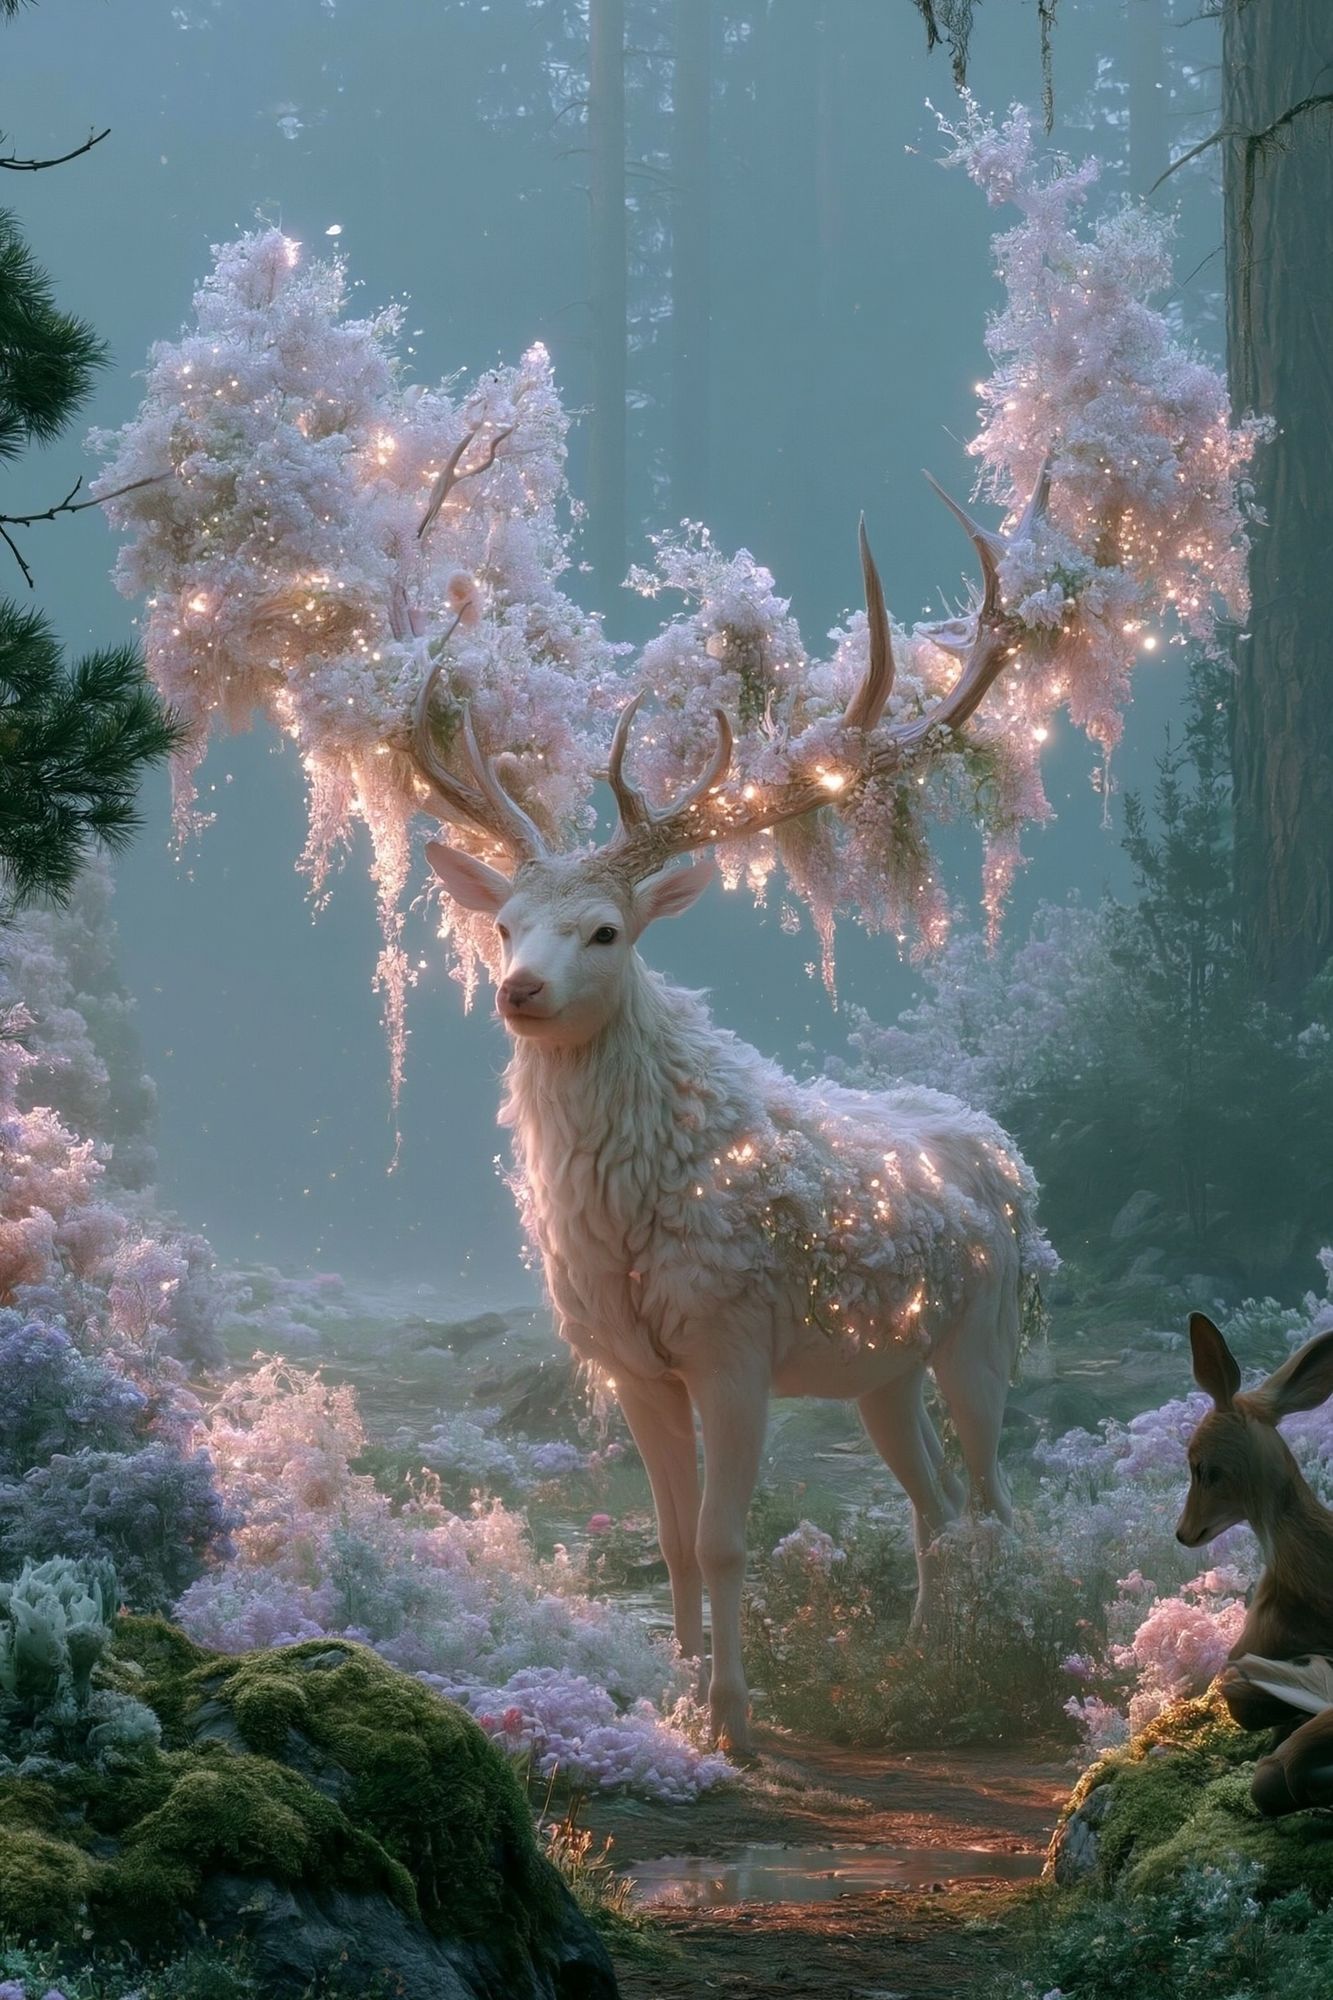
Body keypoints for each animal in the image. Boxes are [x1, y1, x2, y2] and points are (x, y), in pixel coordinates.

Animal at [405, 479, 1054, 1754]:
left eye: (606, 929)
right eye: (502, 922)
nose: (519, 990)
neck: (633, 1207)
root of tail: (1008, 1154)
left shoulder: (733, 1338)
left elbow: (720, 1535)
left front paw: (737, 1723)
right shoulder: (628, 1358)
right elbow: (665, 1539)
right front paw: (675, 1694)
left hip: (983, 1329)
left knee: (996, 1498)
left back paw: (999, 1656)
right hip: (879, 1367)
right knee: (932, 1502)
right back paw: (921, 1657)